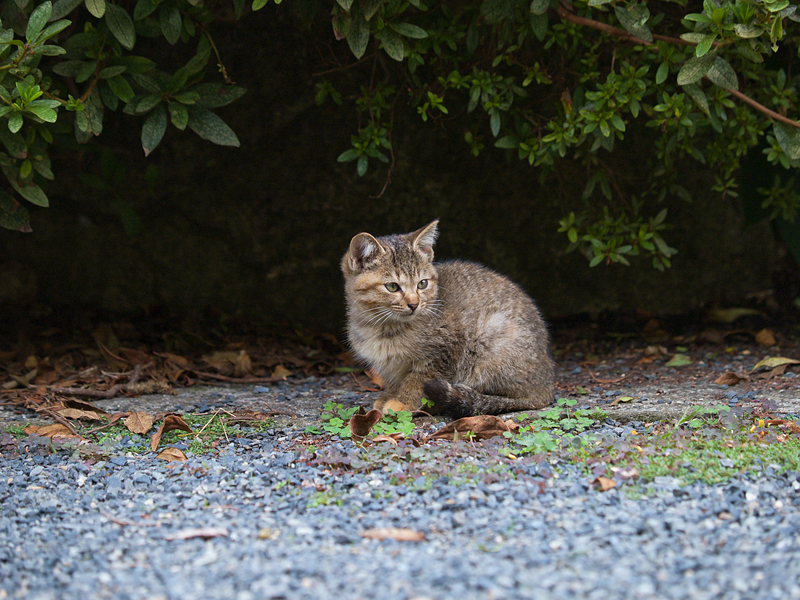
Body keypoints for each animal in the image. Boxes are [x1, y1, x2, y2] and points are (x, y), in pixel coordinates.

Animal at [340, 220, 556, 418]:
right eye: (392, 287)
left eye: (422, 283)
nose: (414, 304)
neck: (381, 325)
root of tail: (547, 384)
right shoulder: (389, 365)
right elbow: (395, 380)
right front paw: (389, 396)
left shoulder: (444, 349)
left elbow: (419, 379)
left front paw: (404, 402)